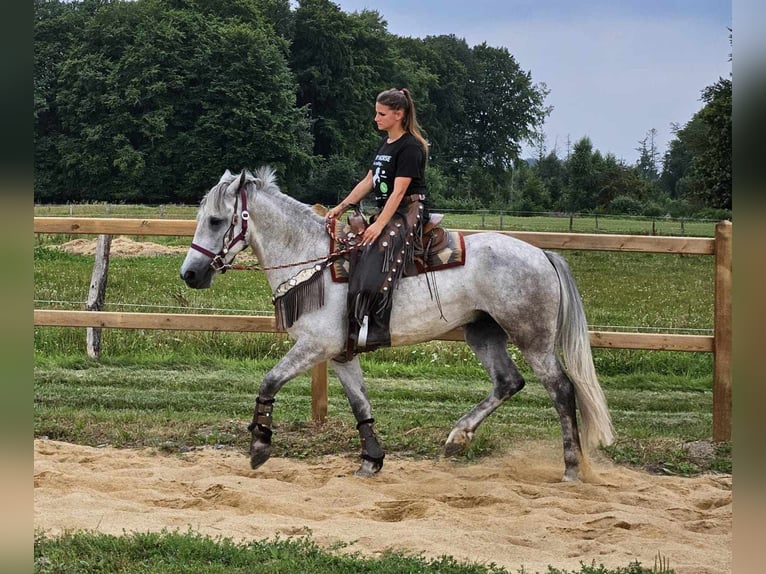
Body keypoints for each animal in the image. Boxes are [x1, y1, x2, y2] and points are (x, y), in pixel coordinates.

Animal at [182, 166, 616, 482]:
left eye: (217, 221)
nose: (190, 274)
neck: (315, 261)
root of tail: (542, 254)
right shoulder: (341, 354)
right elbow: (360, 402)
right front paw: (371, 460)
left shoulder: (314, 346)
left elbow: (269, 381)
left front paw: (259, 447)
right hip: (482, 332)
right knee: (508, 382)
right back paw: (457, 438)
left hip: (533, 338)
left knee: (561, 390)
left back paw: (572, 467)